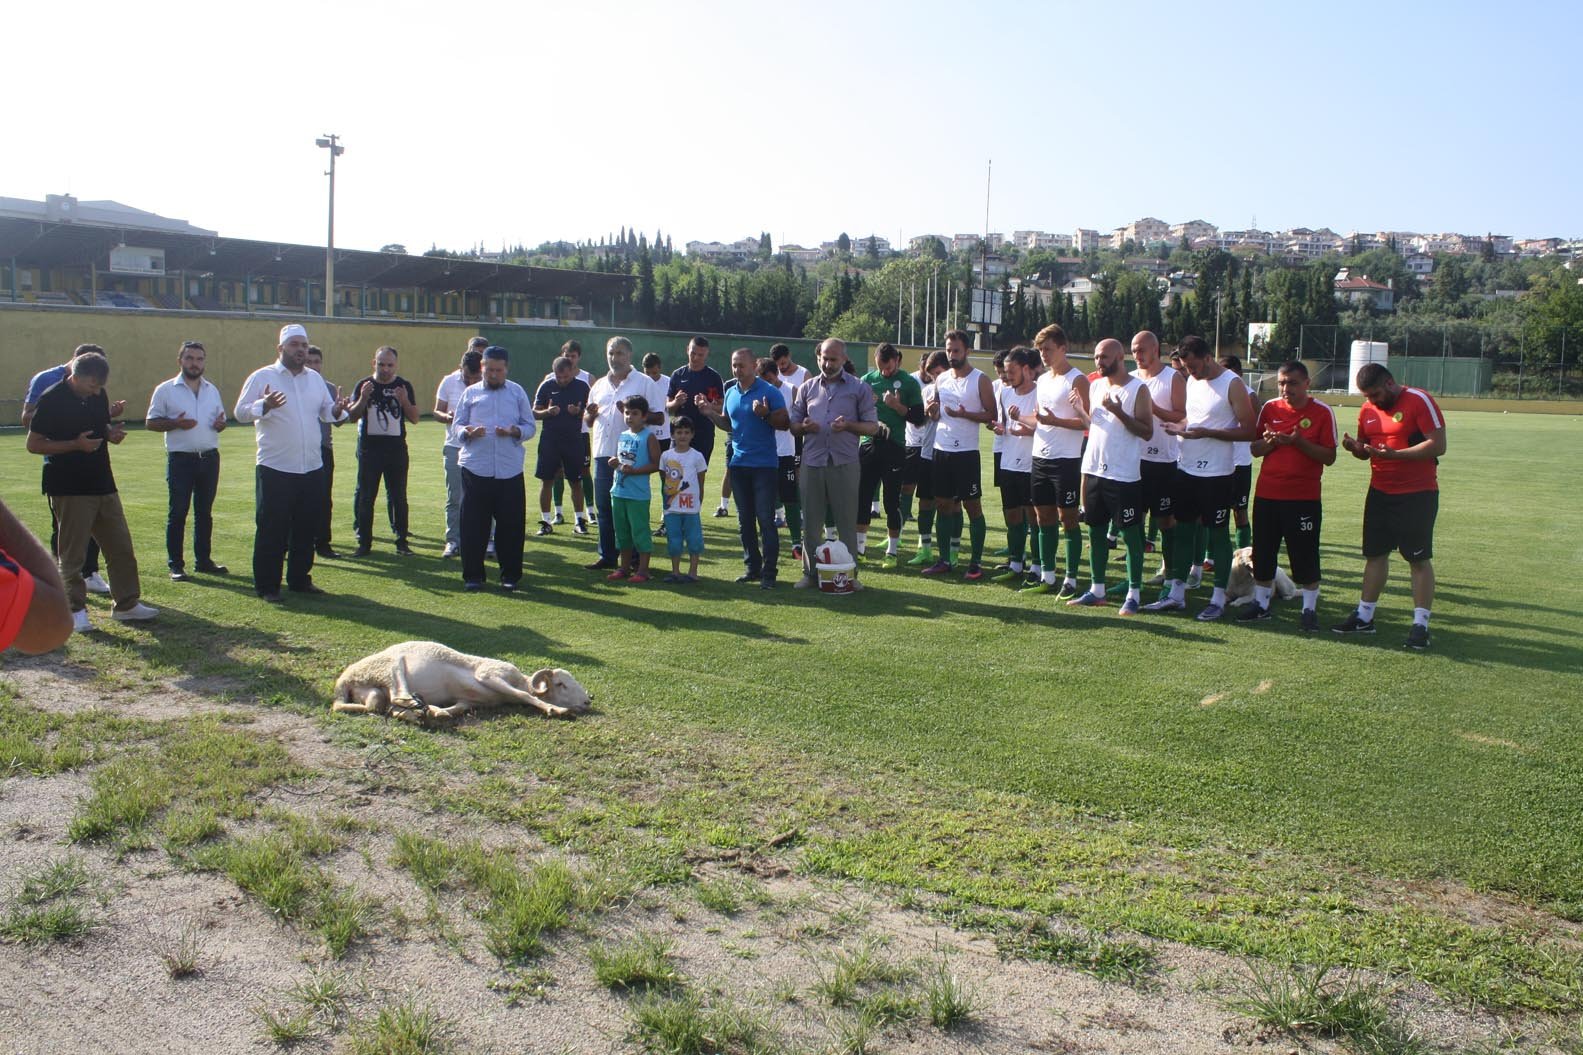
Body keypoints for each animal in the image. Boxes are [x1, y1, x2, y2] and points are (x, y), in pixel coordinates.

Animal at [330, 639, 592, 722]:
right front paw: (555, 709)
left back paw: (421, 713)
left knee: (384, 706)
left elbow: (458, 708)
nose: (588, 702)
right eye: (561, 684)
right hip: (390, 666)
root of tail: (343, 681)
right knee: (399, 696)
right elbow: (525, 695)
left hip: (373, 691)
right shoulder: (490, 674)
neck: (519, 680)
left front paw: (440, 711)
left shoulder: (470, 701)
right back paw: (418, 710)